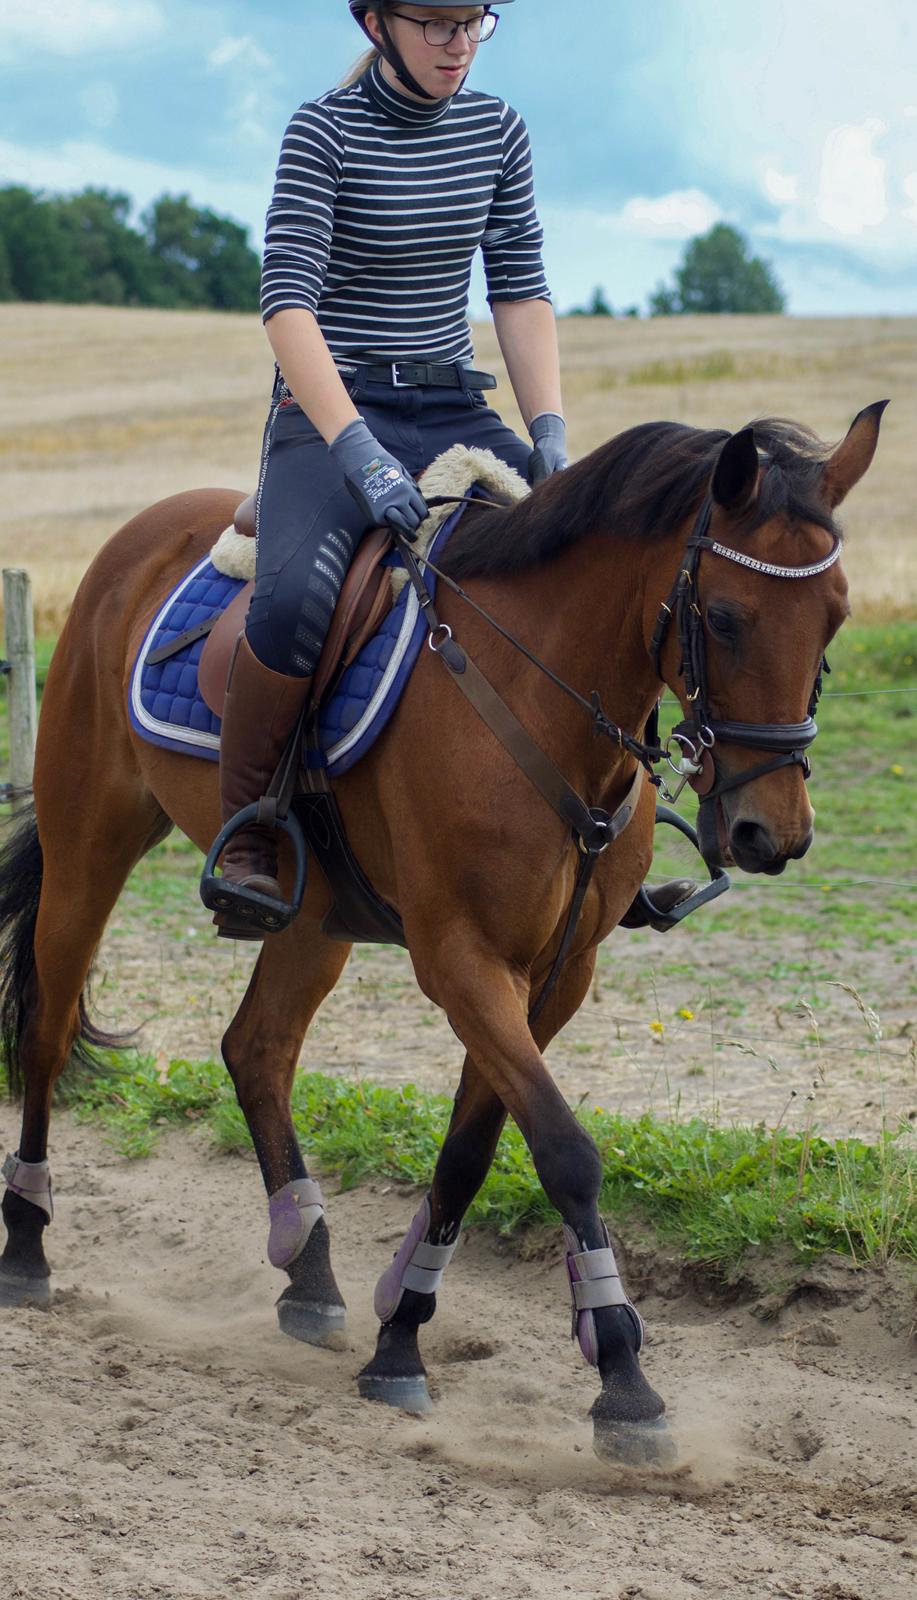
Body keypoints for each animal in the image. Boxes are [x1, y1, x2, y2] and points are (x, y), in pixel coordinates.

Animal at [0, 400, 889, 1465]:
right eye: (723, 618)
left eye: (835, 615)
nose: (772, 834)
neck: (541, 695)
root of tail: (139, 536)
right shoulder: (461, 958)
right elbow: (565, 1150)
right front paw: (624, 1378)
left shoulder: (554, 973)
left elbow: (472, 1151)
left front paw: (400, 1334)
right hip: (90, 843)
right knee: (48, 1032)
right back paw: (26, 1245)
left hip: (314, 912)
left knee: (255, 1048)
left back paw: (309, 1271)